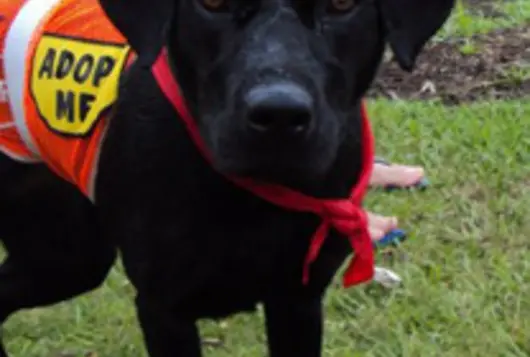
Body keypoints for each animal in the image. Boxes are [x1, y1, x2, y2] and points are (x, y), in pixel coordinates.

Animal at [0, 0, 454, 354]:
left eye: (342, 5)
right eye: (212, 2)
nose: (279, 115)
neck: (254, 199)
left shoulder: (298, 301)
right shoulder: (164, 310)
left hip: (68, 257)